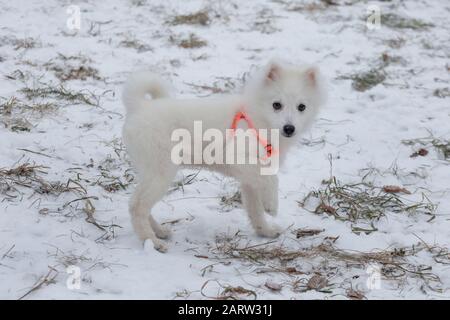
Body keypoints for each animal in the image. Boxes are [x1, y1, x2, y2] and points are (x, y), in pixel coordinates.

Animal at [122, 60, 326, 252]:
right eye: (277, 105)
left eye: (301, 107)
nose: (289, 128)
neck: (257, 120)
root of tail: (140, 107)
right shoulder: (240, 160)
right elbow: (272, 180)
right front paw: (271, 205)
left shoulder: (250, 179)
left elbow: (255, 209)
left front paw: (265, 231)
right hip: (161, 171)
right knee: (137, 206)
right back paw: (152, 241)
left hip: (151, 171)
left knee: (137, 202)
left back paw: (159, 232)